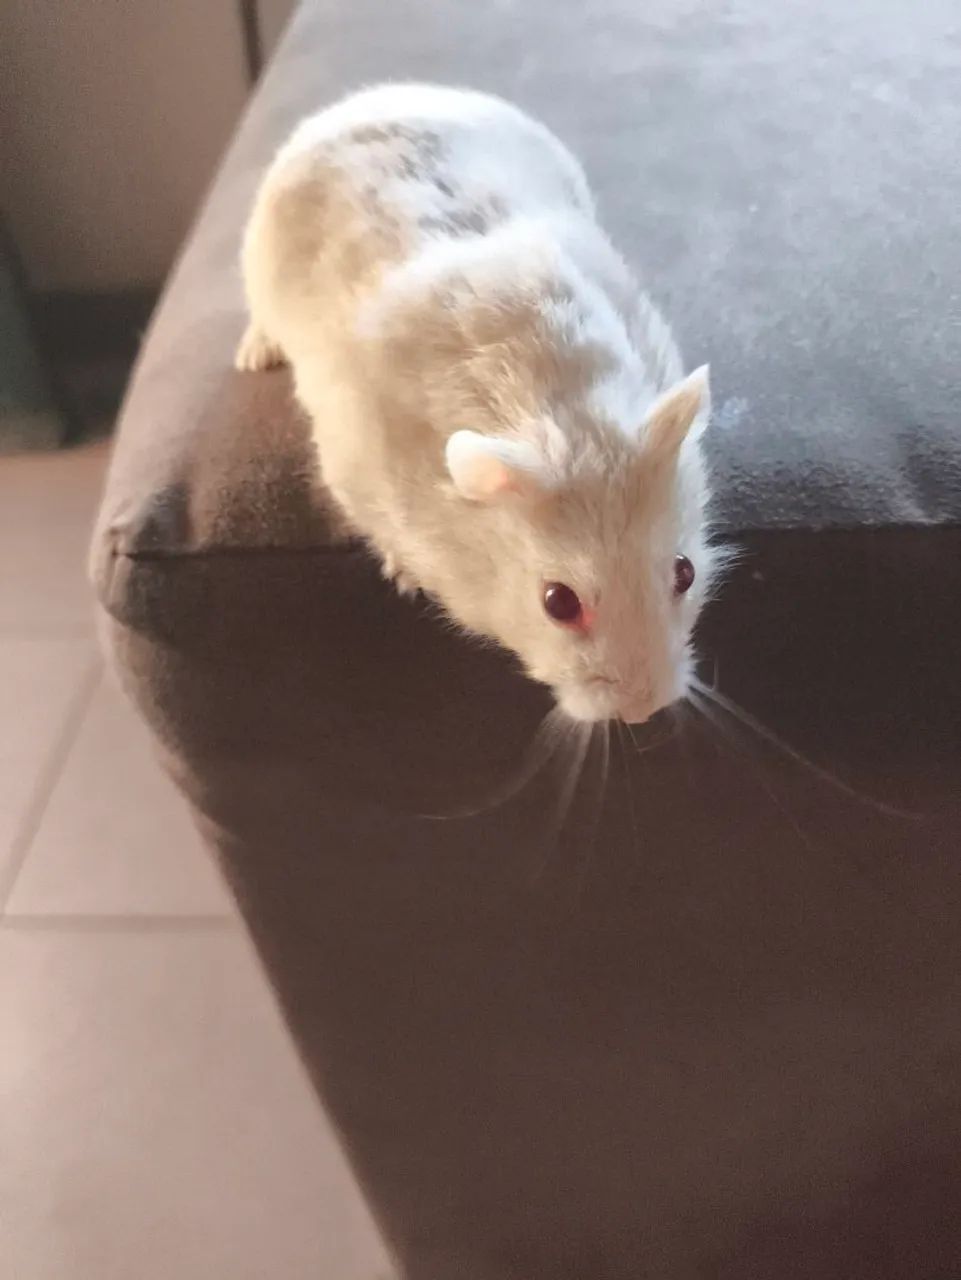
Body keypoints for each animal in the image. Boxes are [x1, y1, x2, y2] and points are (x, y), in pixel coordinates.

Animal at [237, 83, 718, 725]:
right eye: (557, 602)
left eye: (685, 572)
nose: (643, 713)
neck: (564, 409)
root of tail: (372, 97)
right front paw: (405, 579)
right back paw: (252, 358)